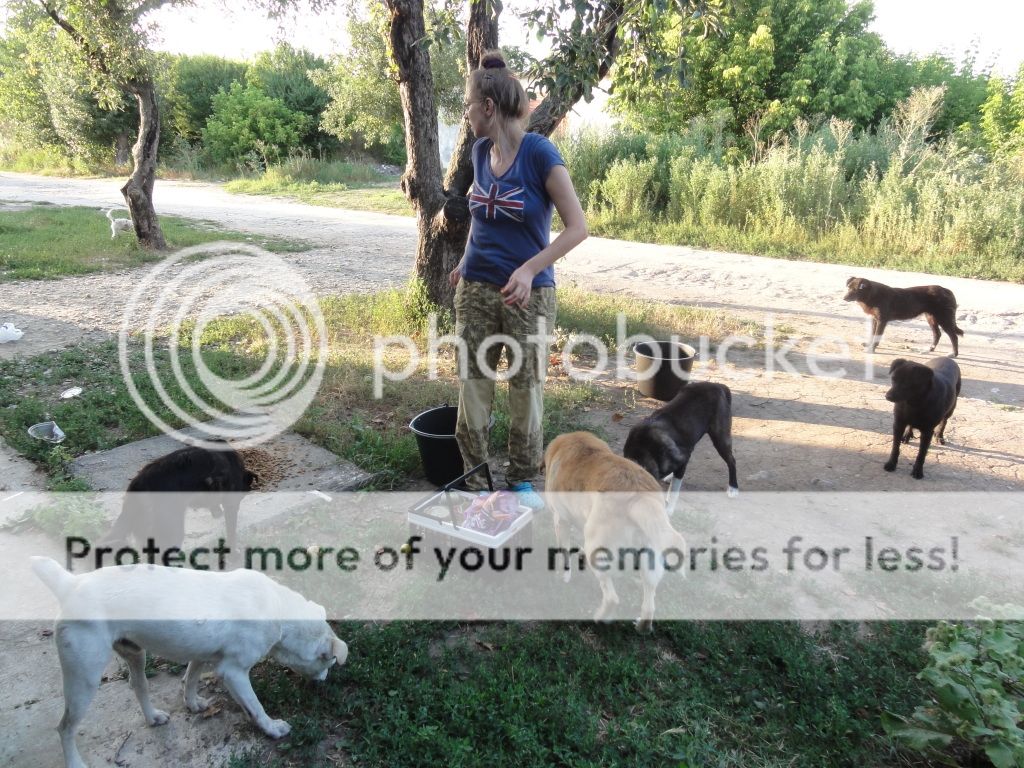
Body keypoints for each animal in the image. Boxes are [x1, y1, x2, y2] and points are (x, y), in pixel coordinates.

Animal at [30, 561, 348, 768]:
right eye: (330, 661)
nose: (325, 681)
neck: (278, 610)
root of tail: (71, 584)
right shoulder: (234, 673)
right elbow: (255, 707)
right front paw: (271, 728)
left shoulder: (203, 653)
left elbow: (191, 678)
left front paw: (193, 704)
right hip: (84, 678)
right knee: (65, 728)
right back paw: (75, 762)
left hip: (135, 654)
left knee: (138, 685)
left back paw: (152, 717)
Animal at [544, 430, 688, 634]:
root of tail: (640, 497)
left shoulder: (560, 521)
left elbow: (564, 554)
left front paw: (562, 576)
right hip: (650, 560)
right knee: (650, 606)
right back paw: (642, 626)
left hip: (598, 553)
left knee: (612, 598)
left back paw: (599, 618)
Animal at [622, 380, 737, 518]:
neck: (643, 449)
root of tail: (718, 385)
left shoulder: (683, 459)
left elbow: (674, 490)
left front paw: (669, 510)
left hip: (720, 439)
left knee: (731, 461)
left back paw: (733, 488)